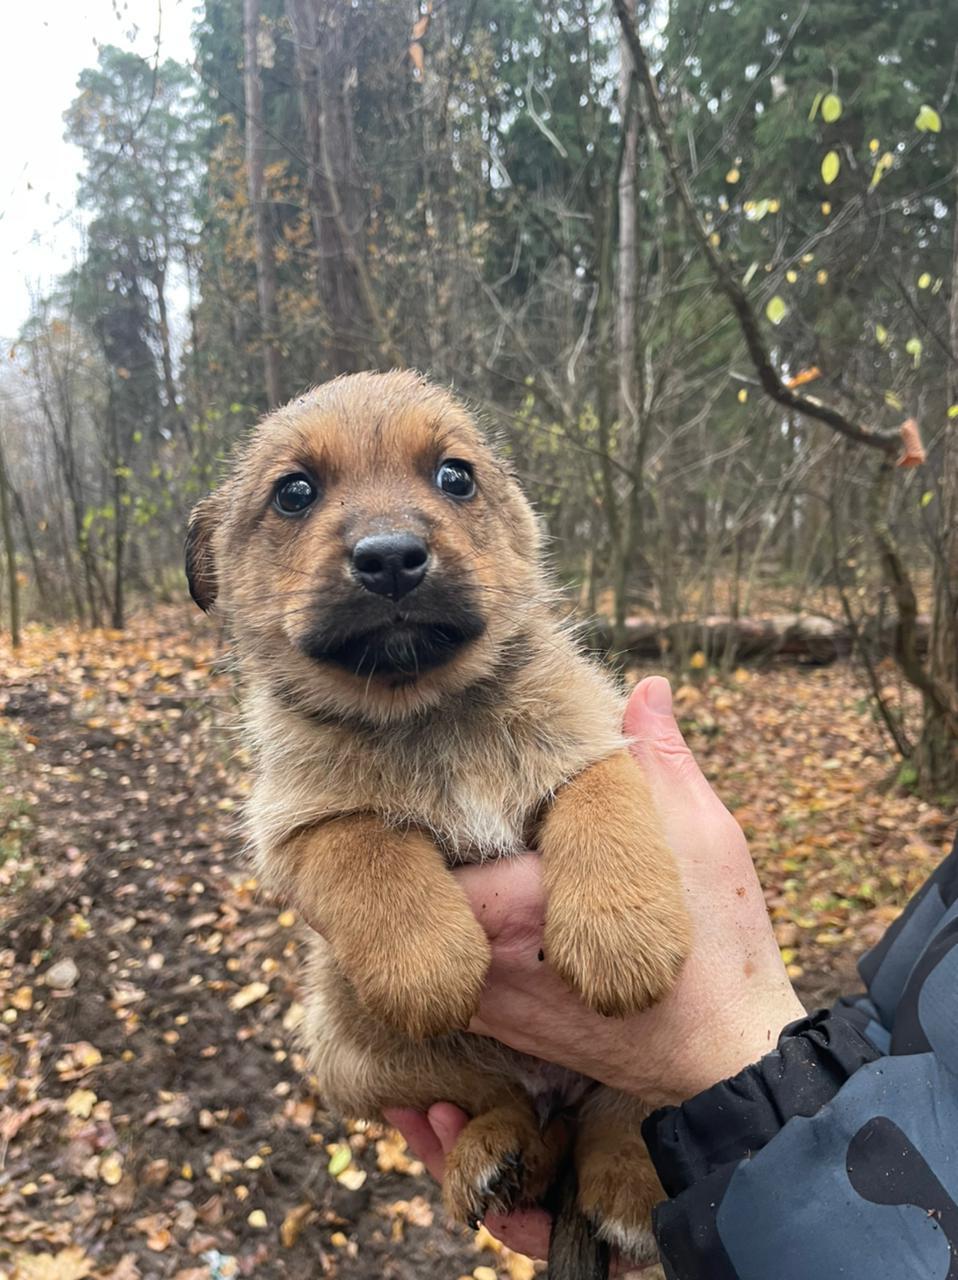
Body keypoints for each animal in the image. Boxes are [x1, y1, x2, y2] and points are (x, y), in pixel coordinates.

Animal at [186, 373, 691, 1269]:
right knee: (506, 1099)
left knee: (620, 1111)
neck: (429, 717)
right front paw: (429, 962)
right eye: (294, 492)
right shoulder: (296, 824)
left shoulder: (598, 741)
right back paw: (499, 1154)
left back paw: (627, 1184)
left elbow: (601, 803)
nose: (390, 557)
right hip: (351, 1055)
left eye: (455, 476)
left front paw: (620, 935)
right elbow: (365, 847)